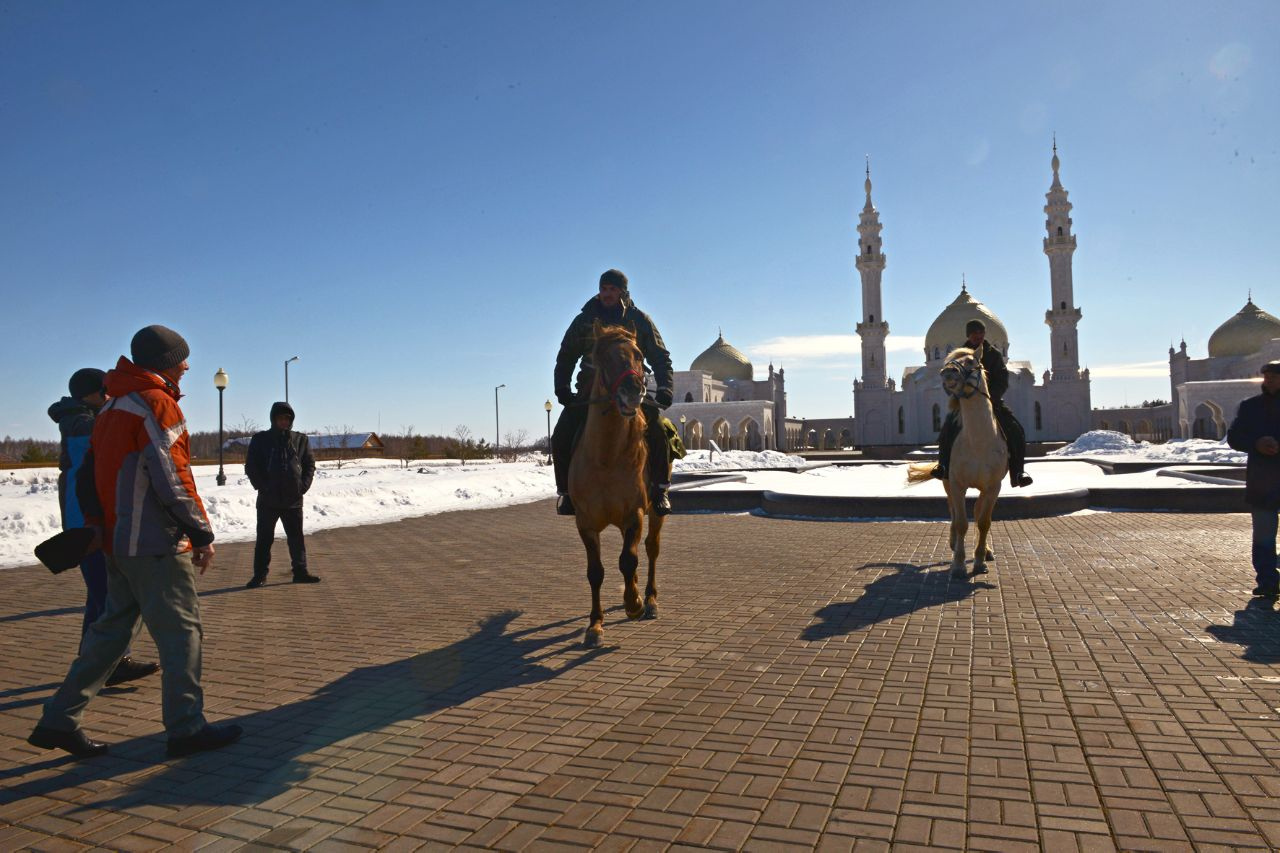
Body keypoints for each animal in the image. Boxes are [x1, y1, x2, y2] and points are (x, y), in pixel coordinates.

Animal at [573, 318, 670, 645]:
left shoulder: (634, 512)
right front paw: (594, 625)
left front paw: (634, 603)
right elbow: (595, 571)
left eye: (640, 355)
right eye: (602, 358)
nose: (633, 392)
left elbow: (628, 559)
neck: (607, 459)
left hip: (655, 510)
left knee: (651, 548)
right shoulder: (585, 521)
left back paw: (650, 599)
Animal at [911, 345, 1008, 578]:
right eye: (949, 360)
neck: (979, 441)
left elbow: (983, 521)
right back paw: (955, 543)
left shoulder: (993, 486)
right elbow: (962, 522)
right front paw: (958, 564)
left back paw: (985, 551)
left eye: (972, 362)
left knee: (978, 512)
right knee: (954, 512)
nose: (947, 373)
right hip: (947, 481)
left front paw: (980, 561)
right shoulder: (956, 484)